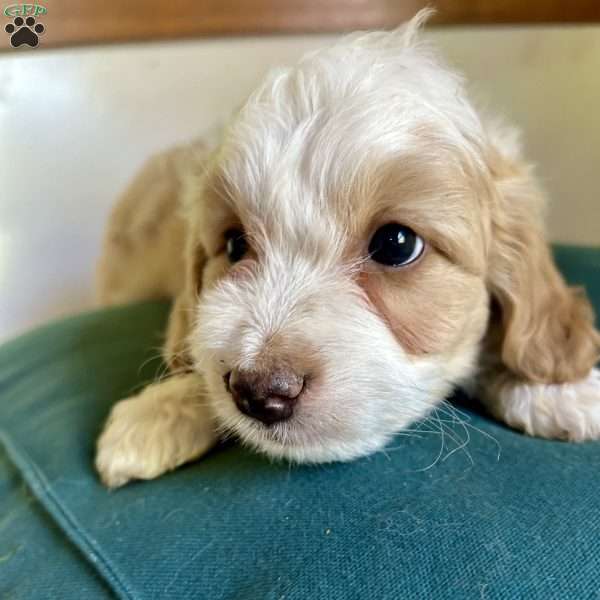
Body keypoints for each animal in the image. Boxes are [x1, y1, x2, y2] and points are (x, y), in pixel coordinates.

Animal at [95, 10, 600, 488]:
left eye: (397, 244)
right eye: (235, 244)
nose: (258, 391)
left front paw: (558, 389)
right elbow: (190, 345)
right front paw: (155, 413)